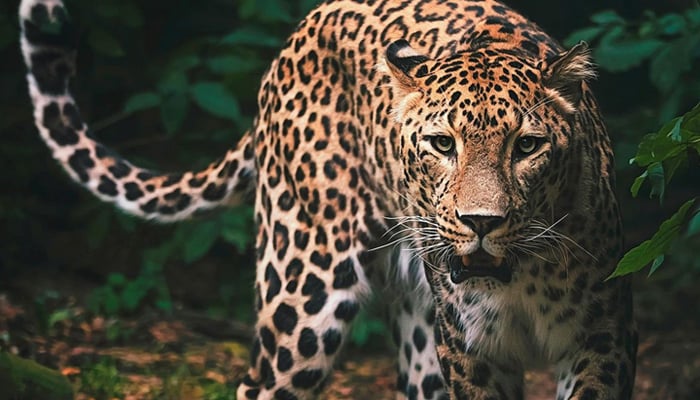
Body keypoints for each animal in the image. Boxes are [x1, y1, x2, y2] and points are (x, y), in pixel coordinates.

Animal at [19, 0, 637, 398]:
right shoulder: (471, 352)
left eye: (527, 146)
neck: (518, 279)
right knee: (259, 384)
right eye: (442, 144)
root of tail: (303, 27)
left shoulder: (602, 337)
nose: (480, 222)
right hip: (302, 293)